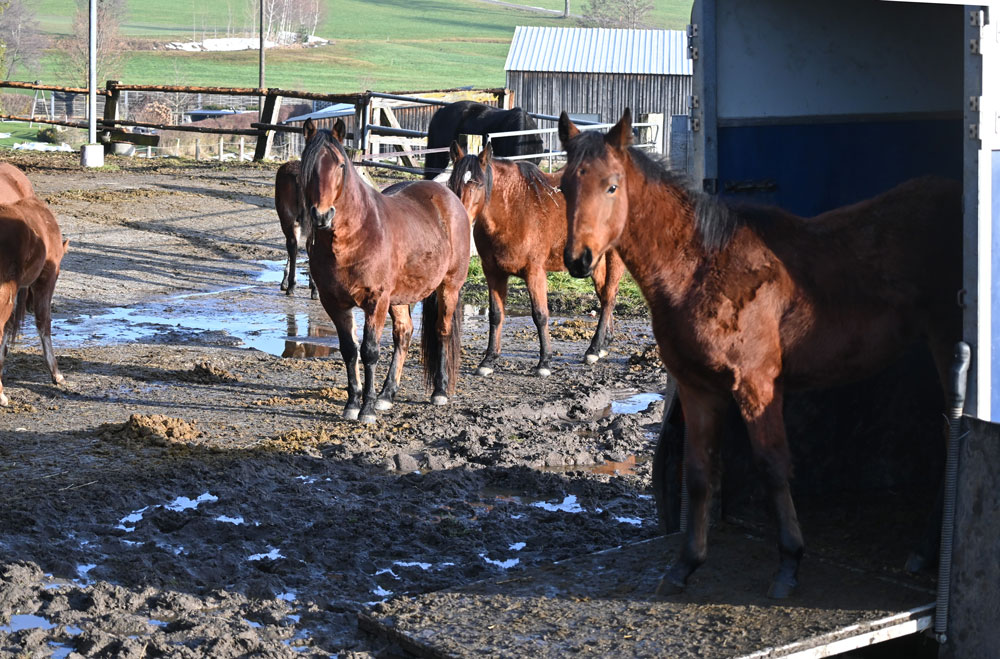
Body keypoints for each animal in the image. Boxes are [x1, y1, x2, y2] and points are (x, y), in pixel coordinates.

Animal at [298, 118, 470, 422]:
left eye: (340, 165)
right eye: (308, 163)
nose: (322, 215)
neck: (356, 236)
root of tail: (449, 197)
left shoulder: (375, 301)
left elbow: (369, 351)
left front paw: (365, 409)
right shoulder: (335, 303)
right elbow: (349, 350)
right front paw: (352, 404)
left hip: (448, 287)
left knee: (442, 330)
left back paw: (439, 391)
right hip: (399, 297)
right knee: (404, 333)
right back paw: (387, 395)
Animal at [448, 142, 620, 378]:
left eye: (479, 185)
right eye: (451, 183)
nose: (460, 219)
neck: (513, 212)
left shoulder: (534, 272)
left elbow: (540, 315)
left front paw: (544, 363)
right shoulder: (493, 272)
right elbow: (495, 315)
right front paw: (488, 361)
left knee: (609, 296)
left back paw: (593, 350)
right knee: (604, 296)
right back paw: (603, 344)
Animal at [560, 111, 964, 600]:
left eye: (612, 186)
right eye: (563, 186)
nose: (578, 259)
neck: (702, 267)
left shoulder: (758, 383)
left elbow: (772, 465)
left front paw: (789, 563)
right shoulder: (697, 389)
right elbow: (699, 473)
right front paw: (685, 565)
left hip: (948, 339)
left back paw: (925, 551)